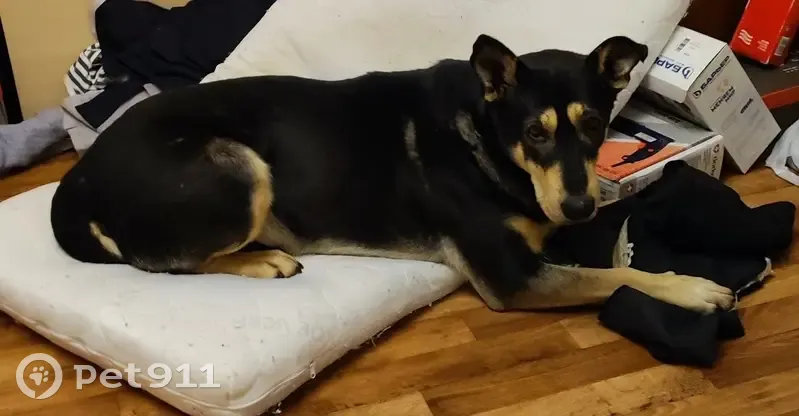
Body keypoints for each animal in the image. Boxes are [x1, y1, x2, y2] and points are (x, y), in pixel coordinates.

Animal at [50, 34, 734, 314]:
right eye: (535, 133)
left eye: (594, 125)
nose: (577, 209)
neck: (484, 135)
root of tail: (79, 180)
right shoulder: (513, 279)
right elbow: (614, 278)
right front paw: (694, 290)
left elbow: (616, 244)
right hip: (239, 169)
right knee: (166, 261)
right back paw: (264, 259)